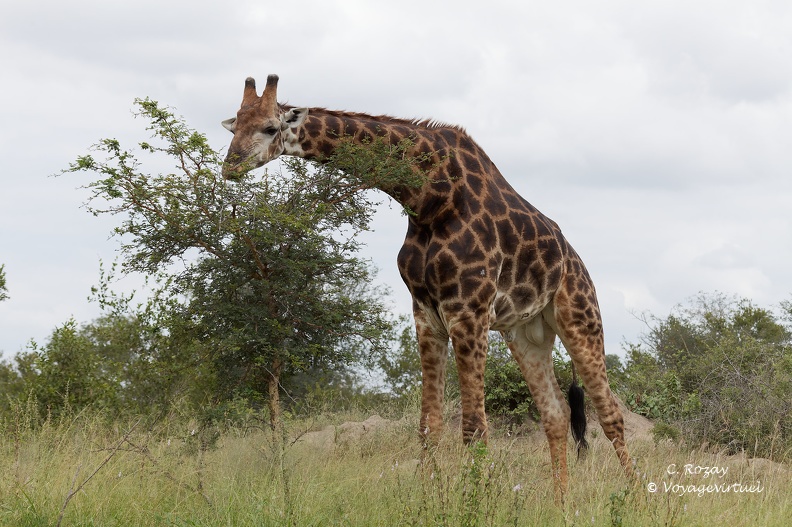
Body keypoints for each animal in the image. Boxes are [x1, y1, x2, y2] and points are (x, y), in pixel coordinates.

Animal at [221, 75, 633, 500]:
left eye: (270, 127)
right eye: (234, 128)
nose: (230, 166)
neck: (428, 198)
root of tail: (577, 264)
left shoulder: (468, 310)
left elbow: (474, 427)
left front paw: (475, 503)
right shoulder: (426, 313)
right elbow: (429, 425)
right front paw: (429, 502)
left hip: (580, 317)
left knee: (610, 414)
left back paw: (634, 500)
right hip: (527, 333)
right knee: (556, 413)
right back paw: (561, 503)